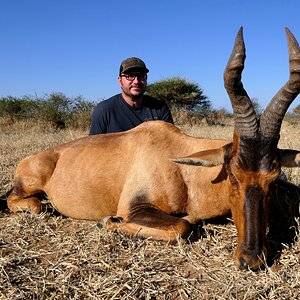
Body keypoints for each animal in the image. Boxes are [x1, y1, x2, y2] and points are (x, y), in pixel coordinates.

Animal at [7, 27, 300, 270]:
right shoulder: (134, 207)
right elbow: (182, 226)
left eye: (272, 178)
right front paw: (107, 221)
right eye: (233, 176)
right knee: (27, 203)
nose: (251, 259)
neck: (181, 167)